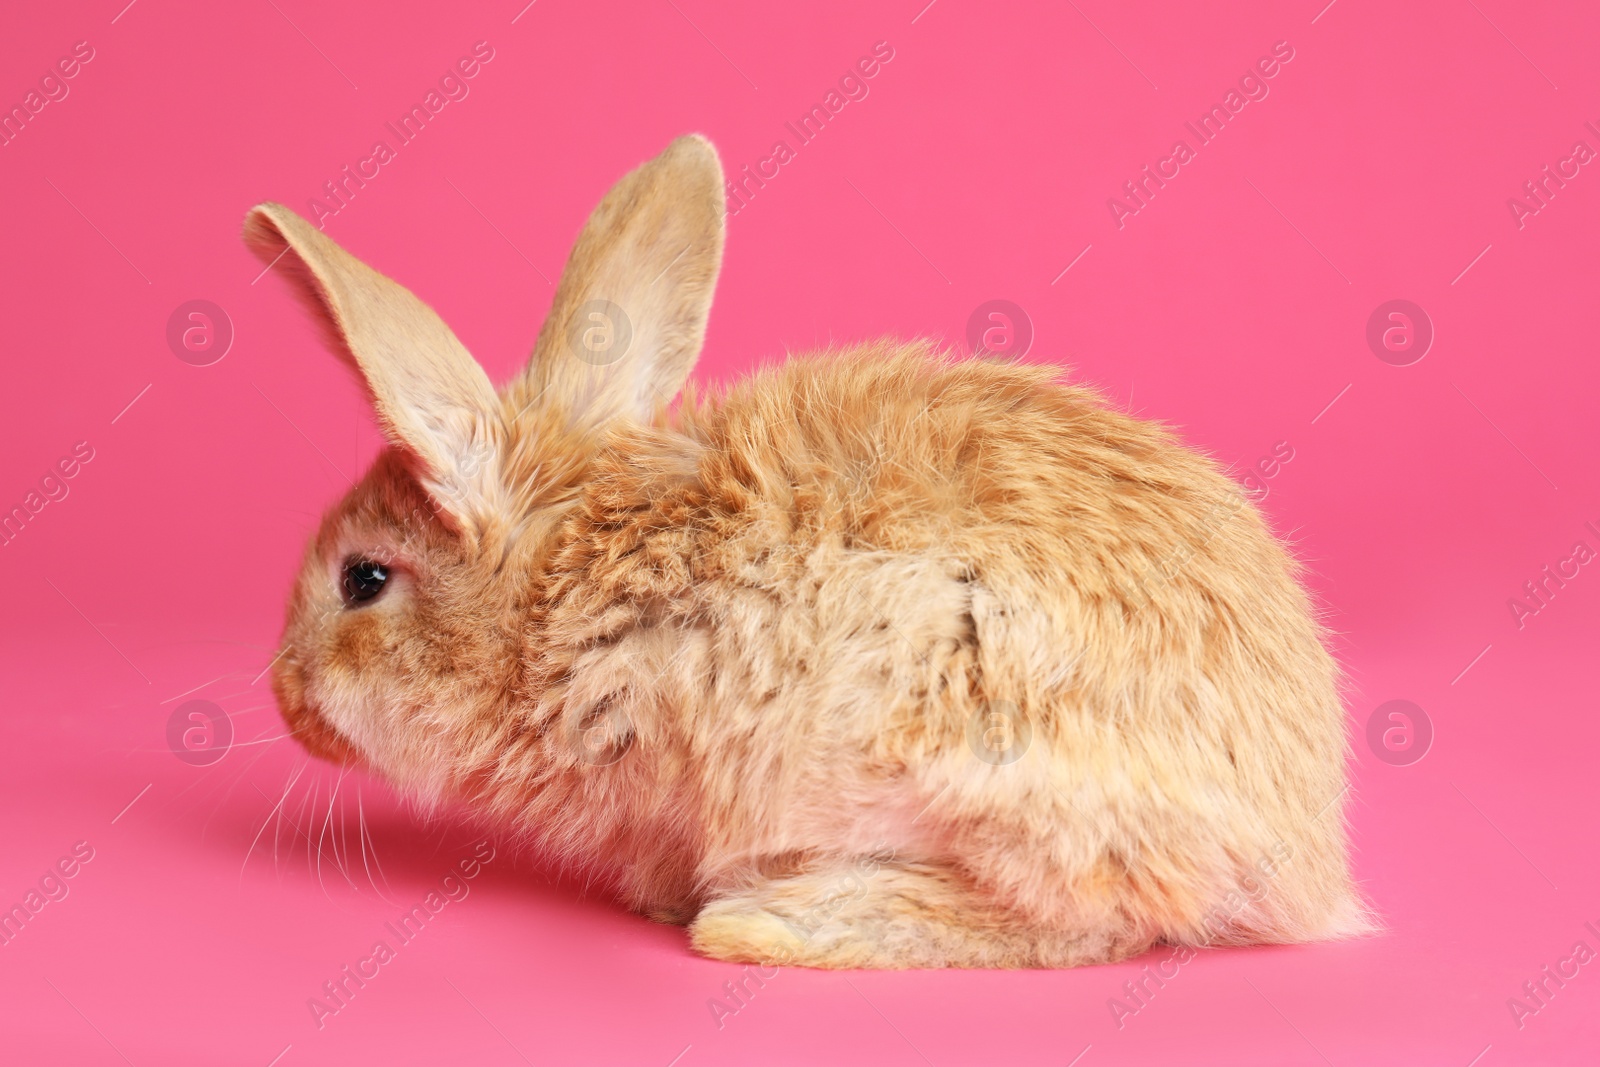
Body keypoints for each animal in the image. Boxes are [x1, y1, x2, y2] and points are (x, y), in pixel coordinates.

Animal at [243, 131, 1369, 966]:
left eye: (363, 579)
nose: (285, 695)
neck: (561, 591)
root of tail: (1305, 859)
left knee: (1094, 921)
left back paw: (767, 918)